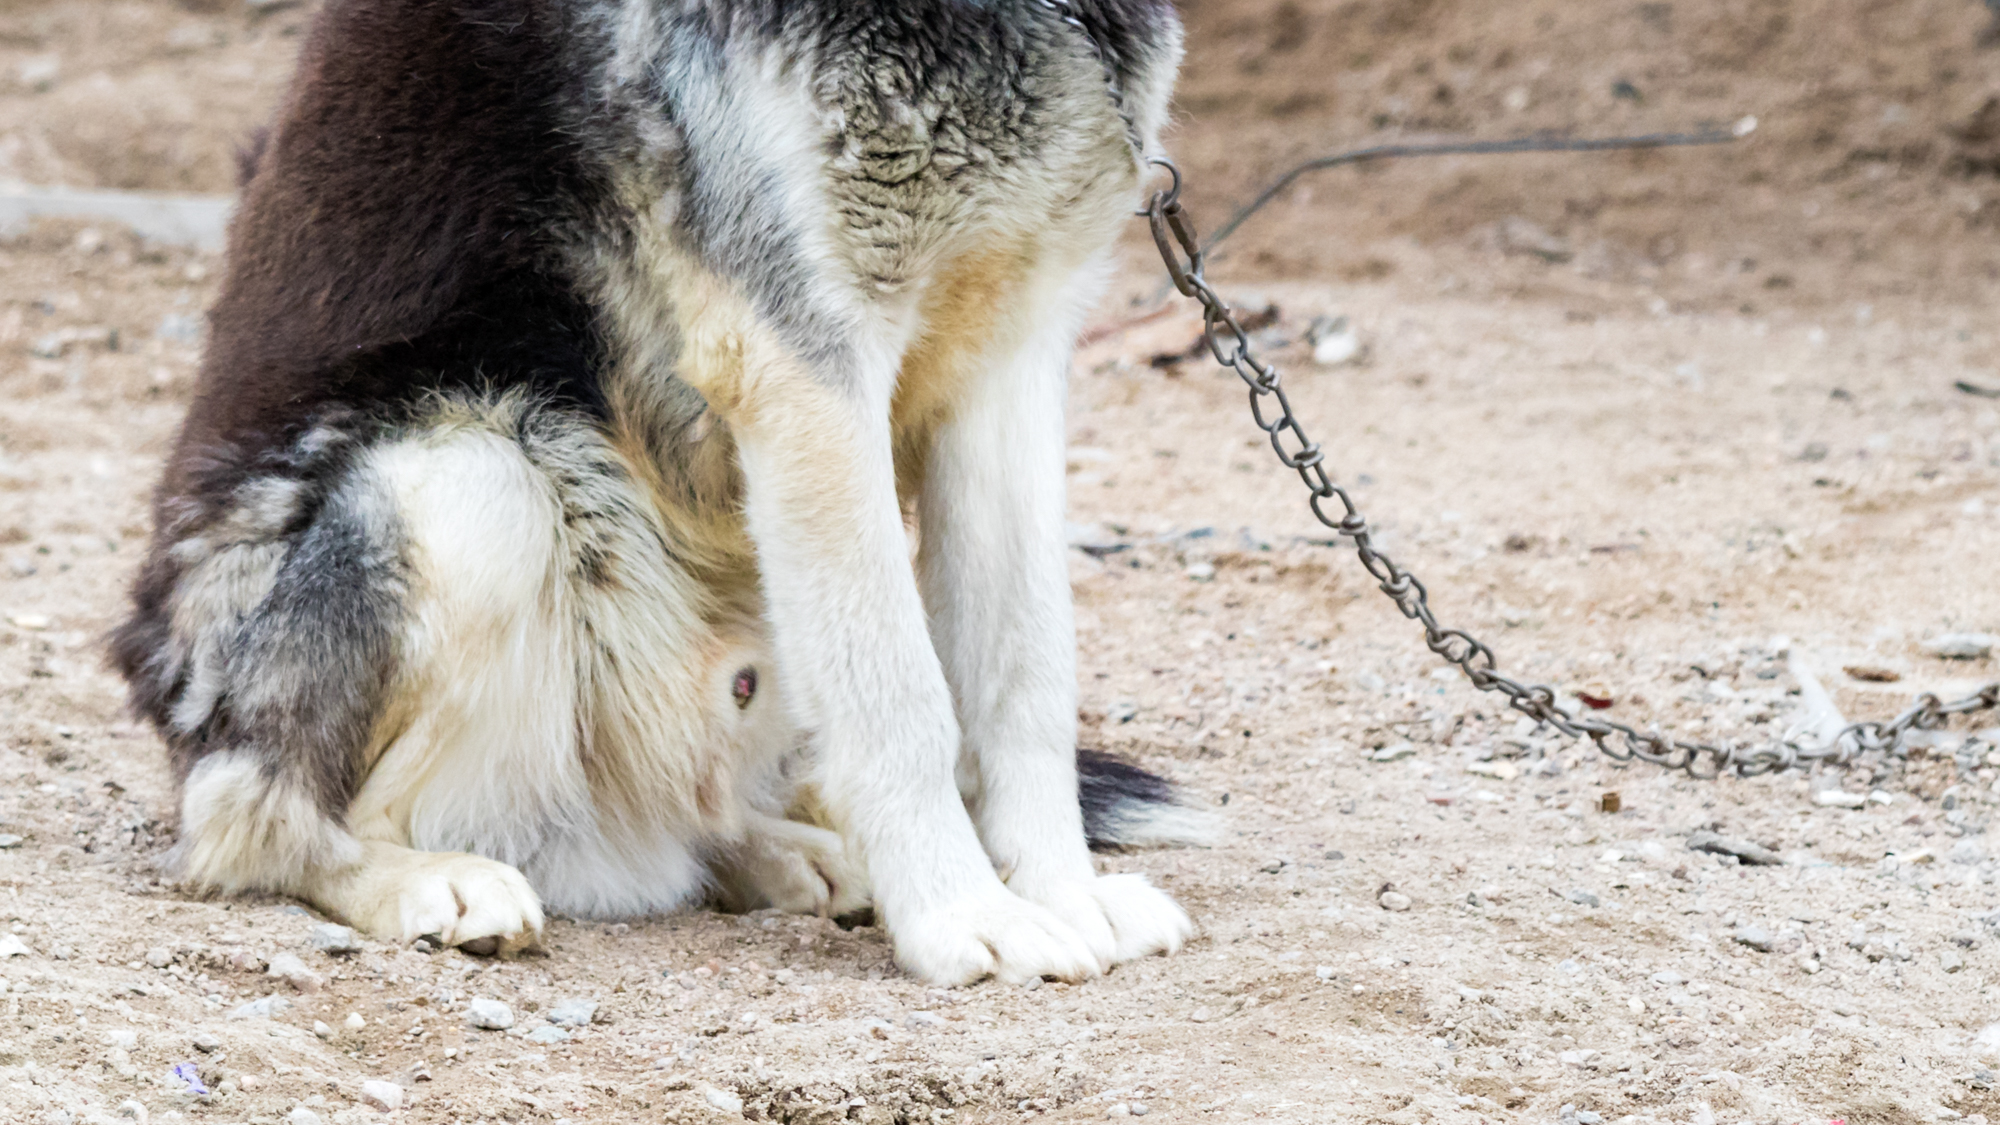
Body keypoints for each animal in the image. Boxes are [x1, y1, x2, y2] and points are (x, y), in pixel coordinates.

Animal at [109, 0, 1200, 980]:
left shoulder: (1015, 351)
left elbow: (1025, 678)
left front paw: (1059, 894)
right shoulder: (805, 361)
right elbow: (901, 698)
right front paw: (962, 915)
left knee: (711, 815)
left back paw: (788, 857)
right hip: (464, 490)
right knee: (254, 818)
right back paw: (428, 879)